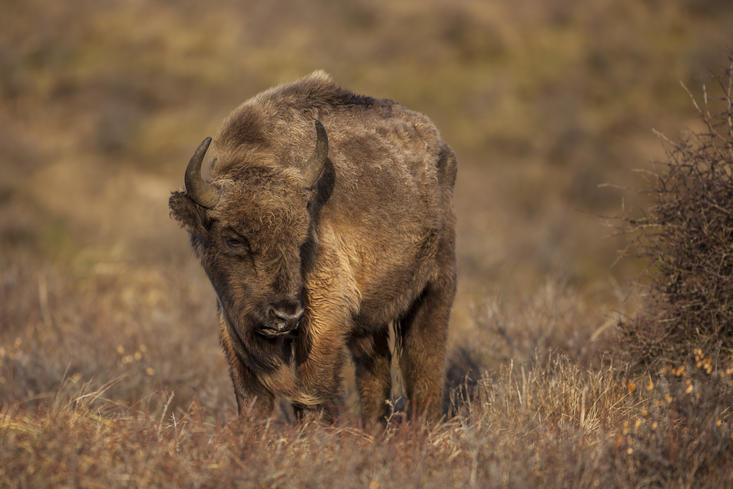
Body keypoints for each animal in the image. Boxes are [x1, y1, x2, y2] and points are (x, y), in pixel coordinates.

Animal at [169, 71, 456, 426]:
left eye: (302, 236)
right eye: (233, 238)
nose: (284, 314)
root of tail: (440, 149)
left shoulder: (324, 317)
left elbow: (312, 394)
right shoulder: (234, 328)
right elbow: (252, 400)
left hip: (435, 290)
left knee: (424, 366)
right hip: (370, 324)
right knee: (375, 376)